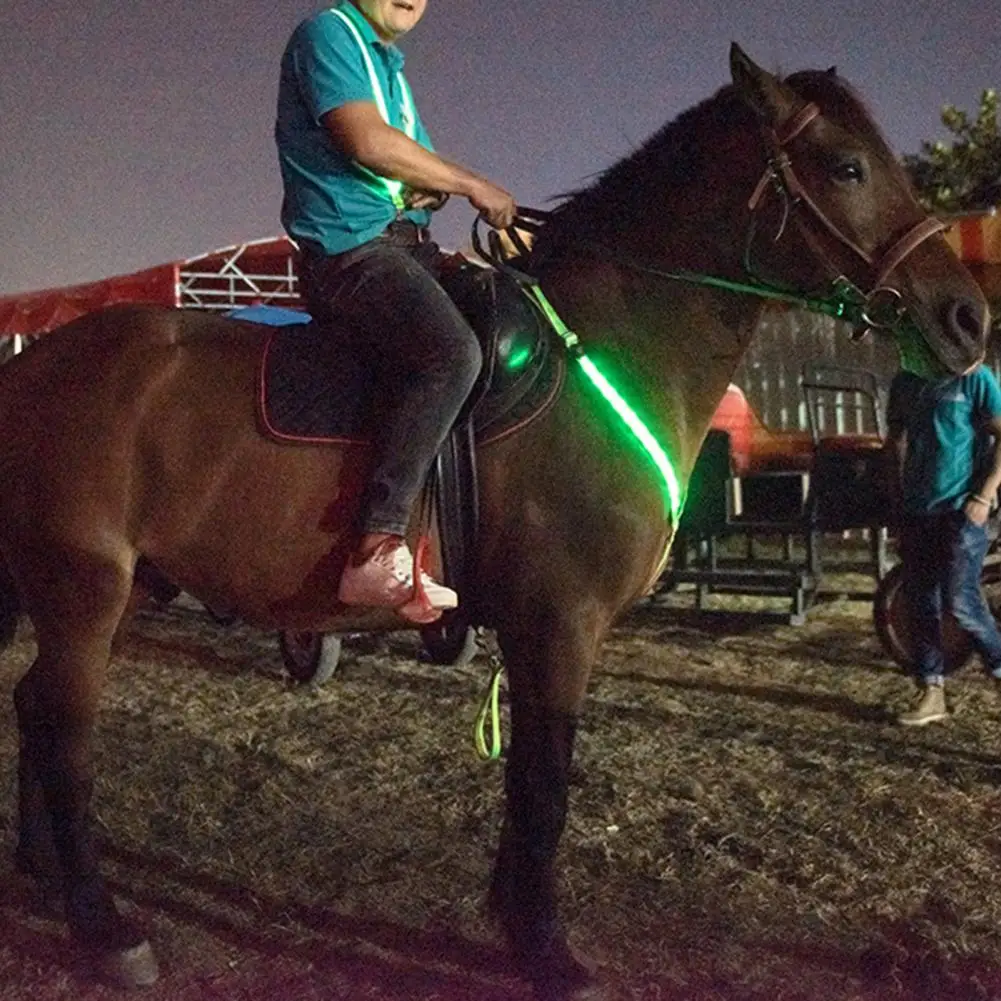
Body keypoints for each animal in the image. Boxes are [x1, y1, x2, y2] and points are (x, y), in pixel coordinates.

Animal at [0, 45, 988, 992]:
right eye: (847, 165)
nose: (967, 318)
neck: (604, 349)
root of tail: (31, 363)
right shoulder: (560, 622)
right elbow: (545, 780)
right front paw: (546, 949)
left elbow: (529, 780)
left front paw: (513, 922)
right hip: (85, 591)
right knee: (65, 728)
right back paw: (105, 926)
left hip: (111, 592)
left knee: (36, 708)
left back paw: (44, 876)